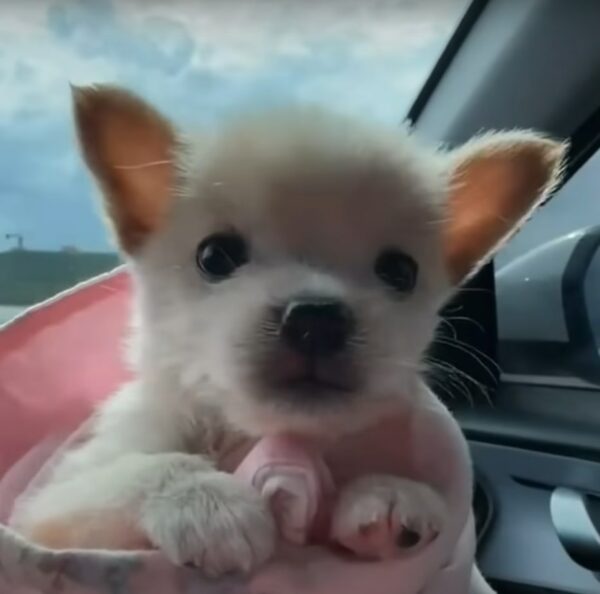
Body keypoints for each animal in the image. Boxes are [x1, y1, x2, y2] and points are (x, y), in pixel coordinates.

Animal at [12, 85, 568, 576]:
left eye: (400, 272)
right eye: (214, 256)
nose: (316, 318)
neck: (252, 434)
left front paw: (387, 492)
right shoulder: (43, 511)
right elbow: (144, 469)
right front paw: (211, 503)